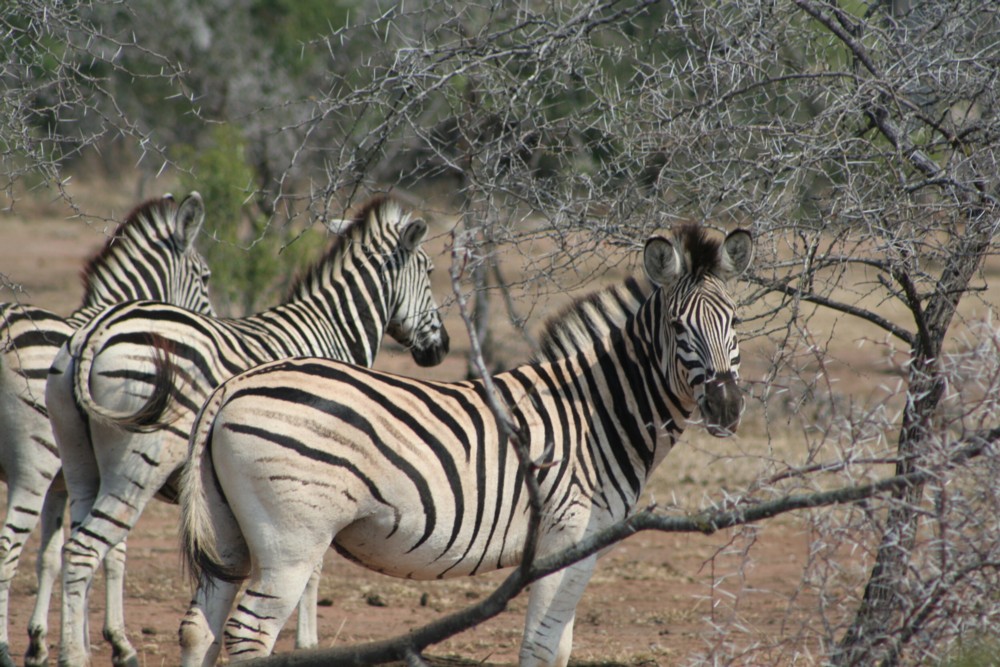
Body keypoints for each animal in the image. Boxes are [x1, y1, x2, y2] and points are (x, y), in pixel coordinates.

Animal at [0, 192, 213, 667]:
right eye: (206, 277)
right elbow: (112, 555)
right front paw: (118, 642)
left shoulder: (67, 483)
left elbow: (52, 556)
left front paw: (43, 641)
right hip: (33, 468)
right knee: (5, 551)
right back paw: (2, 649)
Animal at [45, 195, 450, 667]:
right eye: (430, 271)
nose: (440, 350)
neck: (332, 330)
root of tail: (96, 330)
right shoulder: (318, 479)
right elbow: (313, 570)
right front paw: (307, 644)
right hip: (139, 459)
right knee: (84, 550)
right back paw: (80, 654)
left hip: (78, 460)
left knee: (78, 548)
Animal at [177, 223, 753, 666]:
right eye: (678, 326)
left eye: (736, 322)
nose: (726, 406)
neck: (596, 413)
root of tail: (235, 385)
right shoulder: (563, 539)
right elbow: (540, 648)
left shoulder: (579, 548)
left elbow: (561, 648)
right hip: (291, 543)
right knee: (248, 637)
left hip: (229, 535)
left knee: (200, 629)